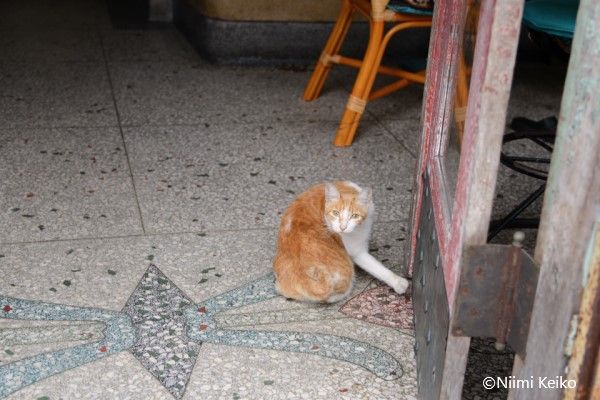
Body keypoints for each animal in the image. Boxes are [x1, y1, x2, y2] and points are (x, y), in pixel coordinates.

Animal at [274, 181, 410, 304]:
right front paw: (398, 282)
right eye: (335, 213)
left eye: (354, 216)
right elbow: (377, 267)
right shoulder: (356, 250)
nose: (342, 227)